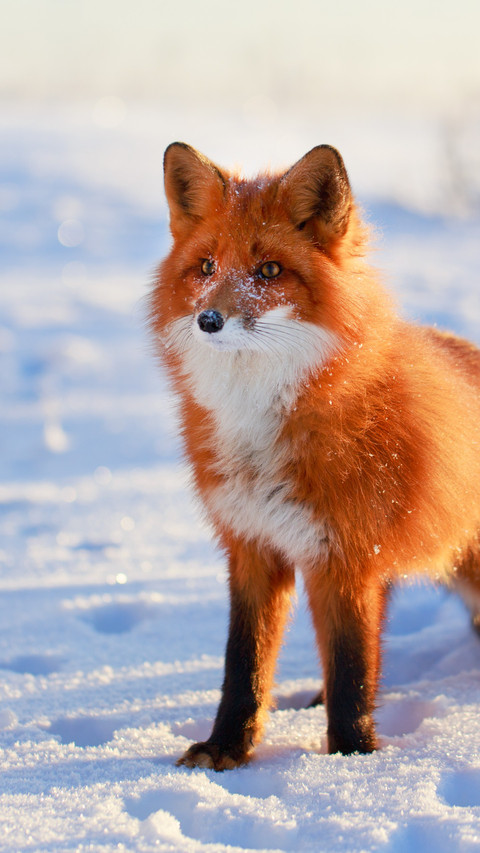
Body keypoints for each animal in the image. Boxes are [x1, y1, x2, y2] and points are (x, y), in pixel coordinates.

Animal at [149, 141, 480, 771]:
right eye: (206, 267)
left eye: (269, 271)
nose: (209, 320)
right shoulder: (252, 546)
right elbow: (245, 665)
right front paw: (227, 748)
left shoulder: (345, 554)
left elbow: (351, 670)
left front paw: (350, 760)